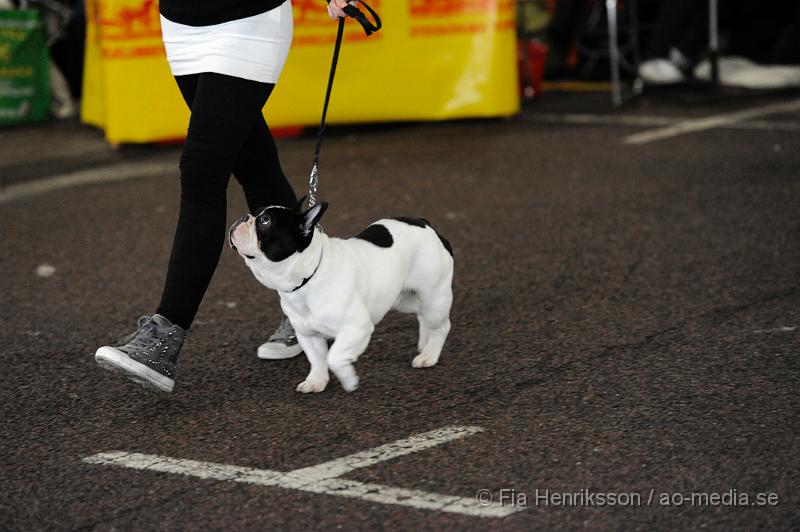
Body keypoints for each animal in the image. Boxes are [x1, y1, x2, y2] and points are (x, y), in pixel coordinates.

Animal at [230, 202, 456, 392]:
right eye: (255, 212)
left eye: (264, 221)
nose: (243, 216)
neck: (308, 276)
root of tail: (427, 225)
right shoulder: (308, 335)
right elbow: (317, 360)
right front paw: (316, 381)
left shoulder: (357, 328)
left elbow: (334, 357)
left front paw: (348, 379)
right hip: (402, 298)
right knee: (420, 313)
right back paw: (424, 343)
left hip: (435, 296)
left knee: (441, 325)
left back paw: (429, 355)